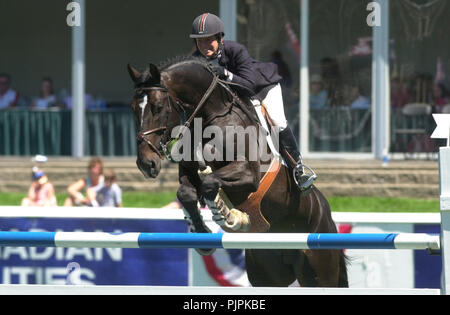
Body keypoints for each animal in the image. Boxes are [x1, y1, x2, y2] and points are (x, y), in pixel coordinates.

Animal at [126, 56, 348, 288]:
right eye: (133, 108)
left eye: (158, 107)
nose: (146, 164)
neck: (209, 118)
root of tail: (326, 212)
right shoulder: (188, 171)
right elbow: (186, 193)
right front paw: (201, 233)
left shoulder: (248, 174)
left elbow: (210, 183)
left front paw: (228, 215)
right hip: (266, 273)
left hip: (319, 270)